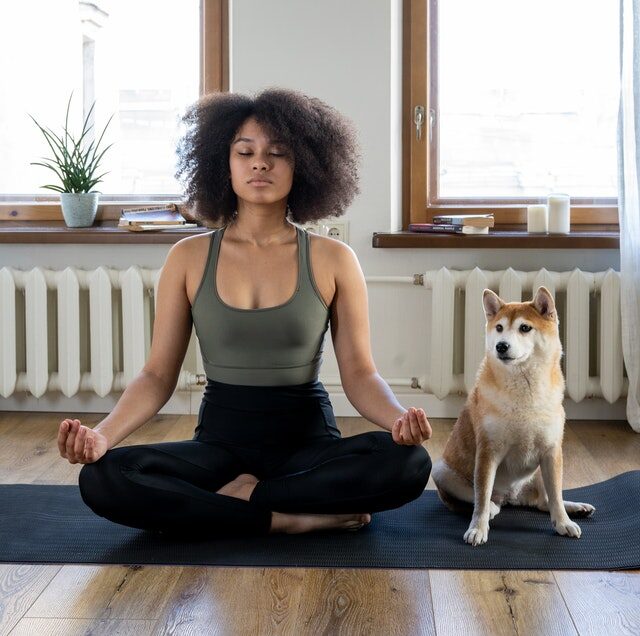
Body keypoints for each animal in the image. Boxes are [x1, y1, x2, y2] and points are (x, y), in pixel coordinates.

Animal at [430, 286, 596, 544]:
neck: (524, 391)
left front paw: (563, 523)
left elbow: (556, 497)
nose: (501, 346)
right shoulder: (488, 452)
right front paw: (478, 528)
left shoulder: (551, 451)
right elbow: (481, 497)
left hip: (540, 472)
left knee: (545, 501)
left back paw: (576, 508)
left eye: (525, 328)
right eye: (499, 328)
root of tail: (511, 497)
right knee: (482, 500)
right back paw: (492, 509)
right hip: (442, 470)